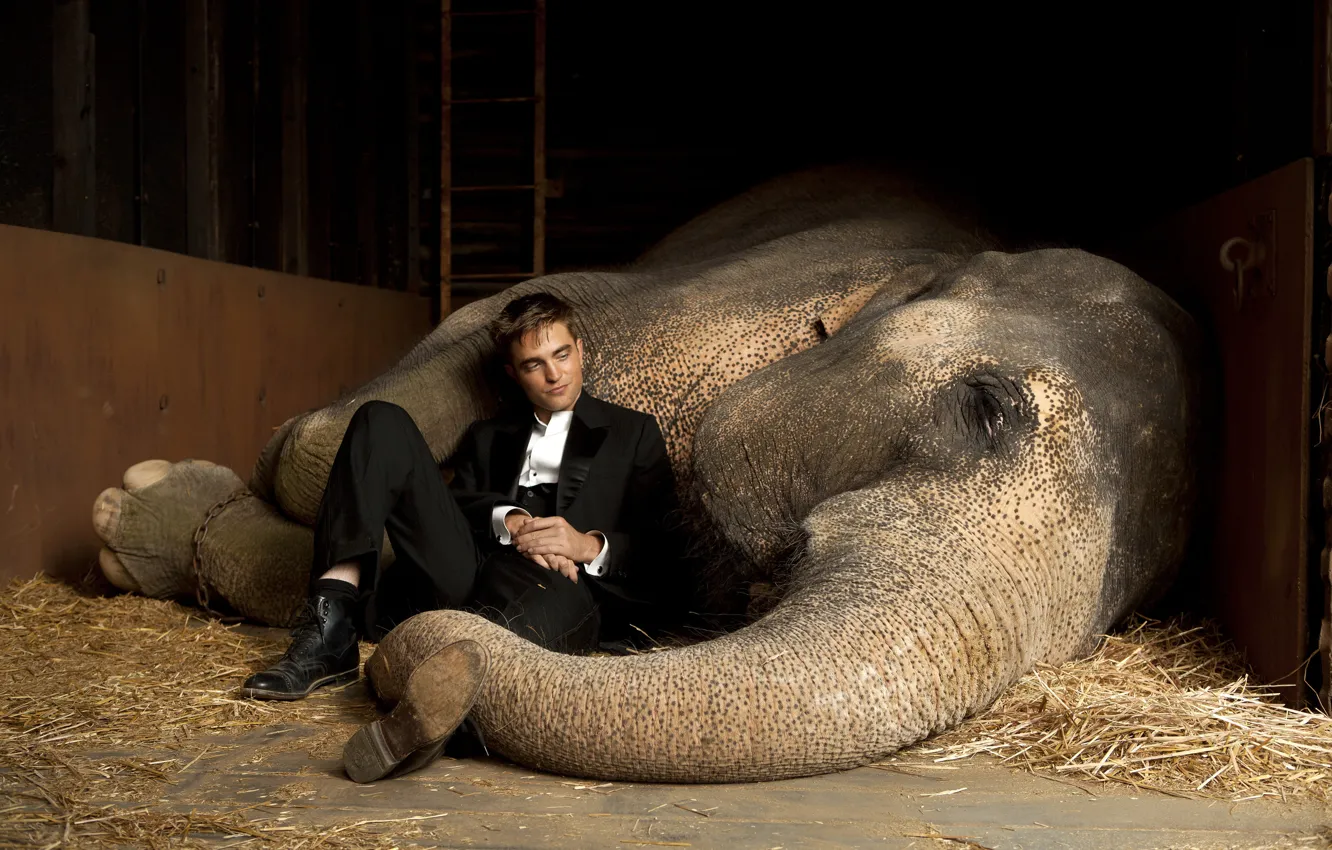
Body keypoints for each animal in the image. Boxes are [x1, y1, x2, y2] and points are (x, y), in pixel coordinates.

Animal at [91, 164, 1201, 783]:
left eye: (1115, 621)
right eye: (986, 406)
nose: (417, 681)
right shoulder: (693, 302)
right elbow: (377, 405)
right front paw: (154, 501)